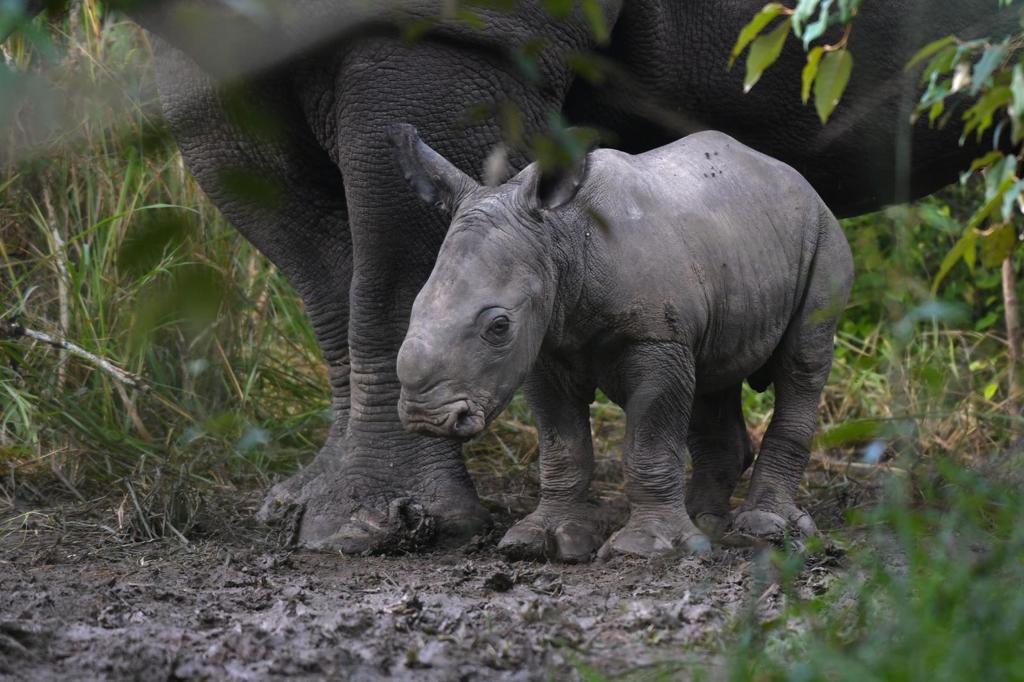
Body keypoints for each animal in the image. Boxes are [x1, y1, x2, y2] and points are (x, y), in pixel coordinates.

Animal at [391, 124, 856, 561]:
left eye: (499, 326)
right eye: (415, 307)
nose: (426, 419)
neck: (559, 238)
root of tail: (794, 176)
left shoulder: (655, 340)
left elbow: (649, 443)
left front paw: (645, 547)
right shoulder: (543, 346)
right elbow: (563, 447)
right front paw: (541, 540)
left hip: (821, 233)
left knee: (802, 364)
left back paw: (763, 528)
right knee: (712, 378)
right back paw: (705, 526)